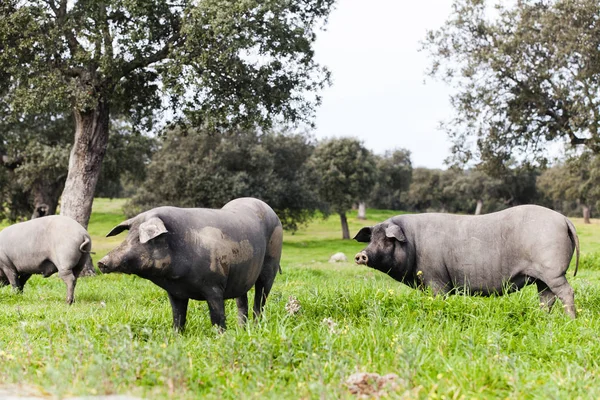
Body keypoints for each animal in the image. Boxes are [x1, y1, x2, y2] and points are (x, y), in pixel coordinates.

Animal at [98, 197, 284, 332]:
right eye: (127, 236)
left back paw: (255, 328)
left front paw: (221, 336)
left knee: (260, 300)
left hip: (271, 265)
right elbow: (178, 316)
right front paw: (176, 335)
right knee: (242, 301)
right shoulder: (175, 292)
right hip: (242, 275)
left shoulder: (214, 285)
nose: (101, 262)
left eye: (140, 239)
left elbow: (217, 316)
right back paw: (242, 330)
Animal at [354, 205, 580, 318]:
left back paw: (570, 320)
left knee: (566, 292)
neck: (413, 242)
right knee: (546, 298)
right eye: (372, 238)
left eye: (388, 239)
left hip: (553, 271)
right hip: (542, 277)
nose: (361, 255)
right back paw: (543, 319)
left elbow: (439, 298)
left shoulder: (436, 280)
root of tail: (563, 219)